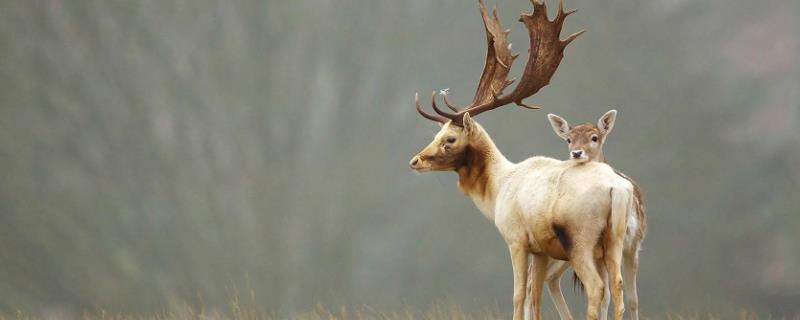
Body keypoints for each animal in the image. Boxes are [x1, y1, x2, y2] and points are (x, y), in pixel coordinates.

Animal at [410, 1, 636, 318]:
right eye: (438, 132)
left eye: (450, 139)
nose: (415, 161)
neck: (497, 190)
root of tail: (617, 189)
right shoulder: (540, 249)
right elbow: (535, 295)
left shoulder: (516, 239)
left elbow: (518, 295)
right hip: (615, 240)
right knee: (618, 288)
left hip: (581, 239)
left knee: (596, 288)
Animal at [528, 110, 648, 320]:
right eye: (568, 139)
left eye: (594, 137)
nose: (576, 153)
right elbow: (607, 296)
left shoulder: (633, 245)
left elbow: (632, 299)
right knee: (534, 280)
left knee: (546, 278)